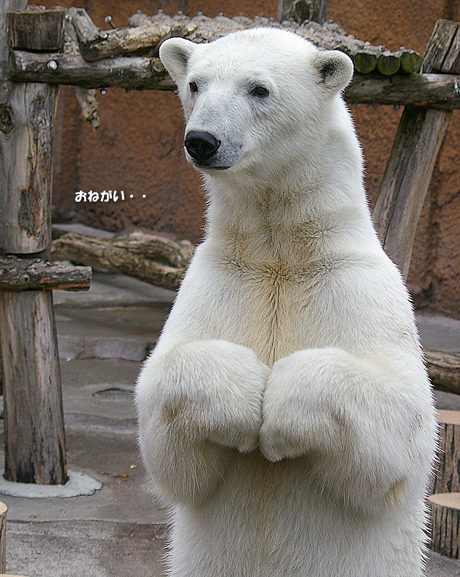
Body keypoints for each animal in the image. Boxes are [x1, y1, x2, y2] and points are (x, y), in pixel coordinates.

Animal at [135, 27, 436, 576]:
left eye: (259, 89)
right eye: (194, 84)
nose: (202, 140)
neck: (282, 254)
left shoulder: (357, 284)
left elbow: (405, 431)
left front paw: (276, 416)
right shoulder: (220, 279)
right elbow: (171, 456)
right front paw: (240, 401)